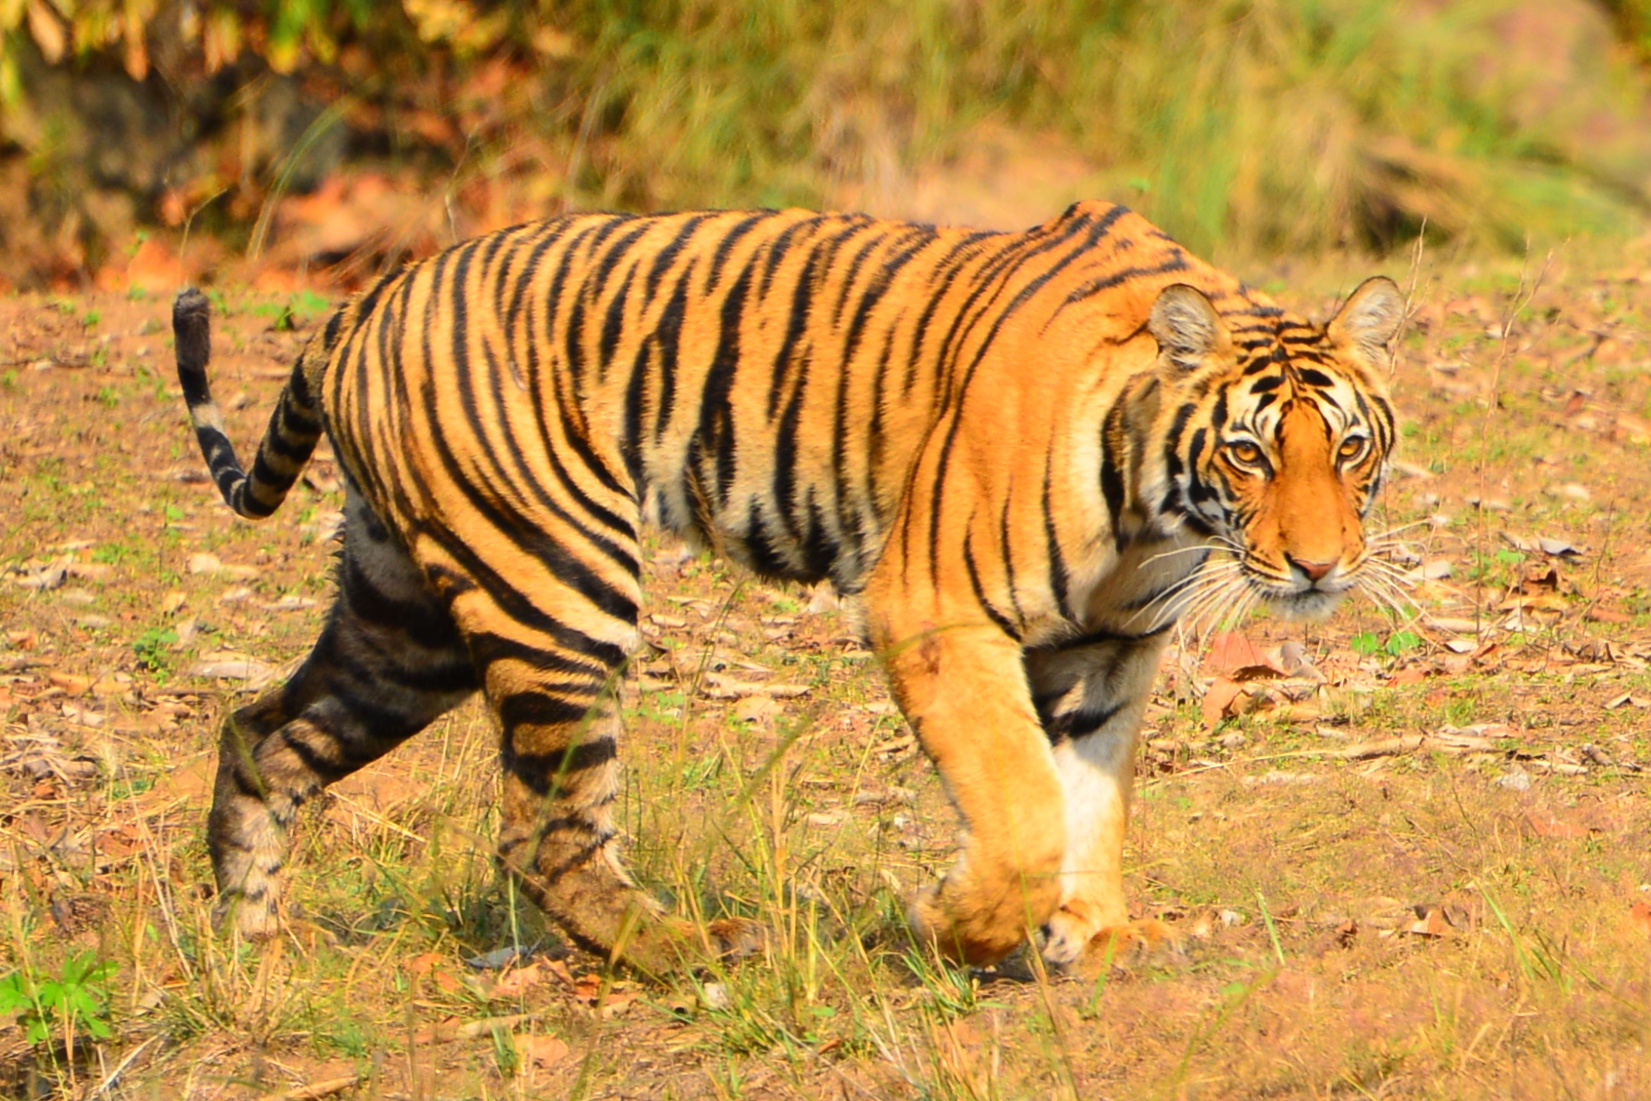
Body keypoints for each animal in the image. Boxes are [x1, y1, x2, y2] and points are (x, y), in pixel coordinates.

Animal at [172, 199, 1402, 975]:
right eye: (1249, 454)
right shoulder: (934, 610)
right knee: (541, 833)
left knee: (263, 733)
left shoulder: (1108, 650)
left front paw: (1093, 933)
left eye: (1344, 449)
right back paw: (690, 951)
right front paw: (956, 926)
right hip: (557, 581)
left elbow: (1089, 798)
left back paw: (251, 946)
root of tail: (362, 304)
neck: (1156, 509)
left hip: (405, 618)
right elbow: (1020, 808)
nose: (1319, 564)